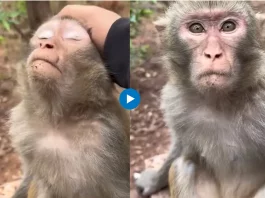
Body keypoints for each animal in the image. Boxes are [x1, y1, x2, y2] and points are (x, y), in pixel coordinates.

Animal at [9, 15, 129, 198]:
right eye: (44, 37)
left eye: (72, 38)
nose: (46, 45)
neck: (57, 118)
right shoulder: (24, 129)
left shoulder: (107, 138)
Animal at [135, 1, 265, 198]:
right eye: (196, 28)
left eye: (228, 27)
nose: (213, 54)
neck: (218, 98)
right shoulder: (175, 100)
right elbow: (181, 146)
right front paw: (154, 180)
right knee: (183, 165)